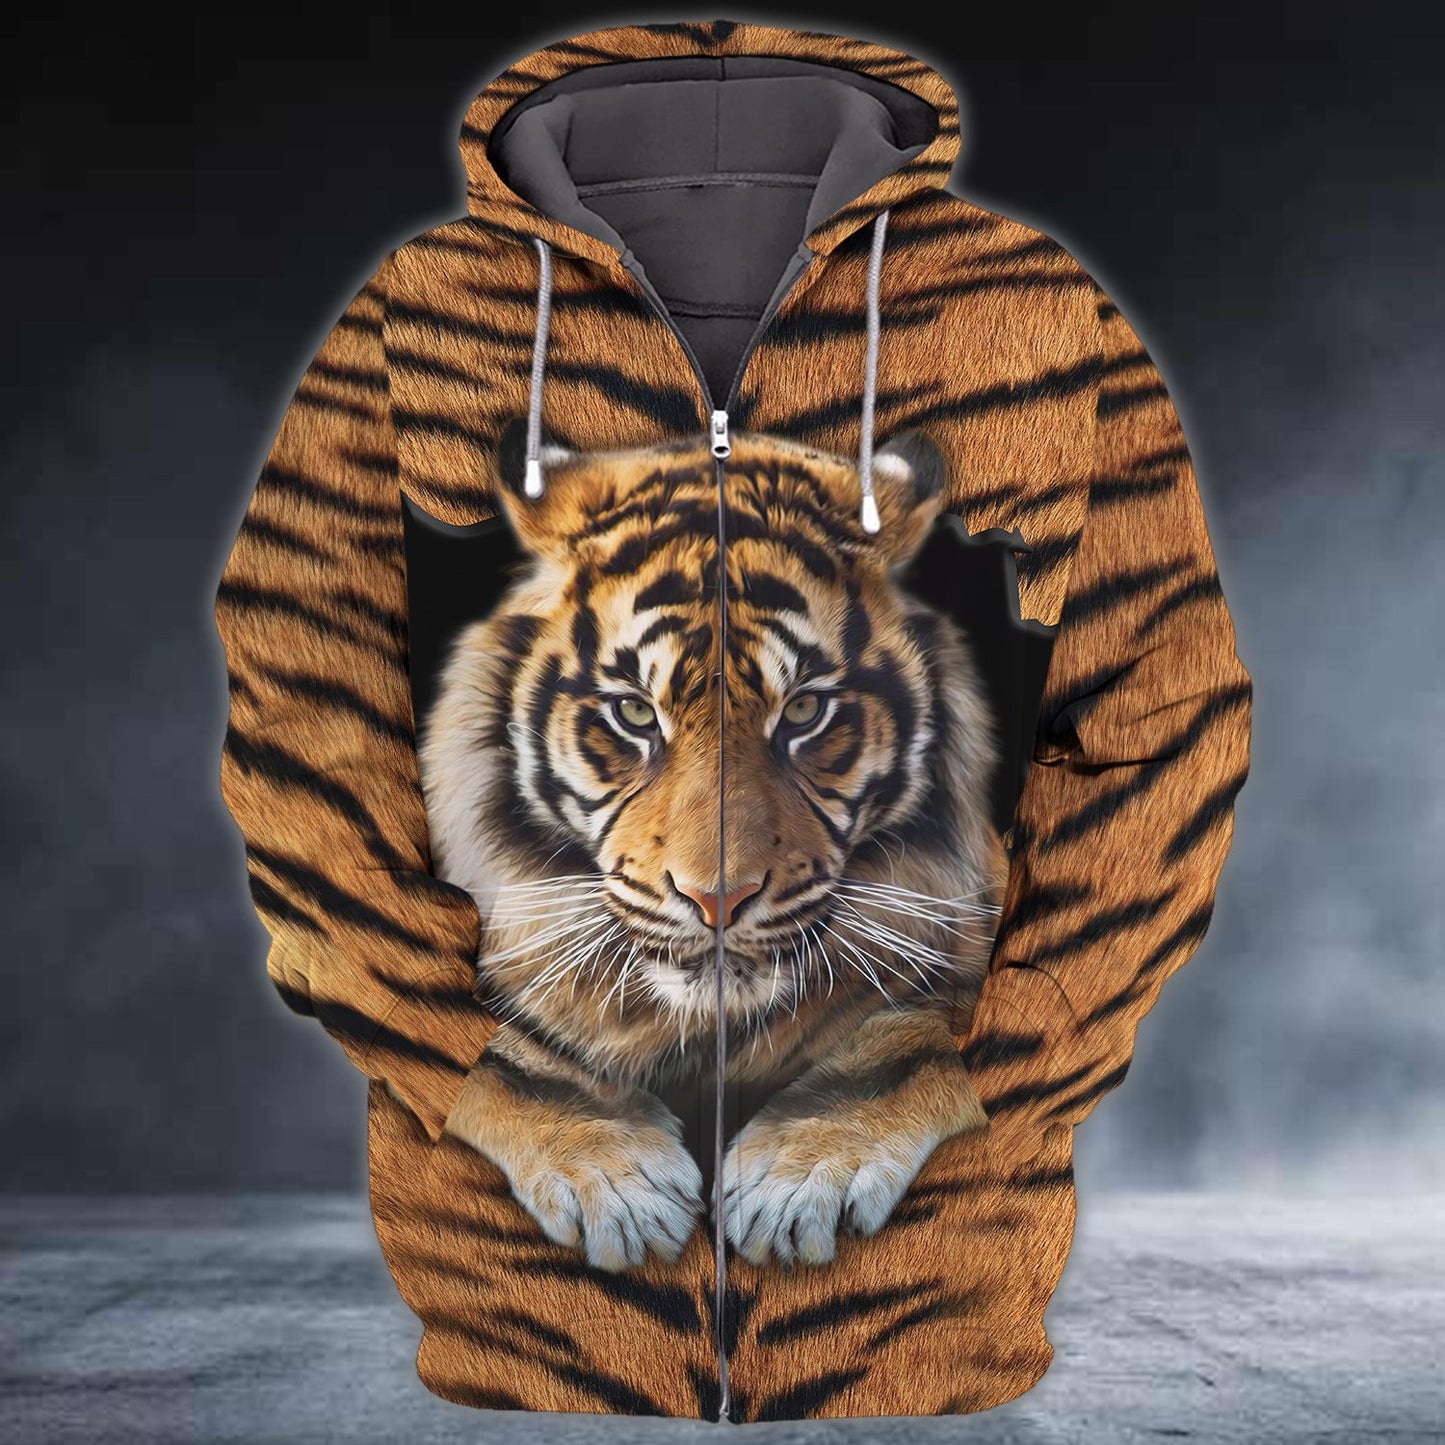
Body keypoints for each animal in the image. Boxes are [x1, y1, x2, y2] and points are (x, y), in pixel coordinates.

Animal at [417, 420, 1009, 1274]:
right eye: (634, 712)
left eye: (803, 712)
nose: (716, 899)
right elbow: (494, 1053)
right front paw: (622, 1184)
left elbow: (920, 1042)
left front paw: (795, 1179)